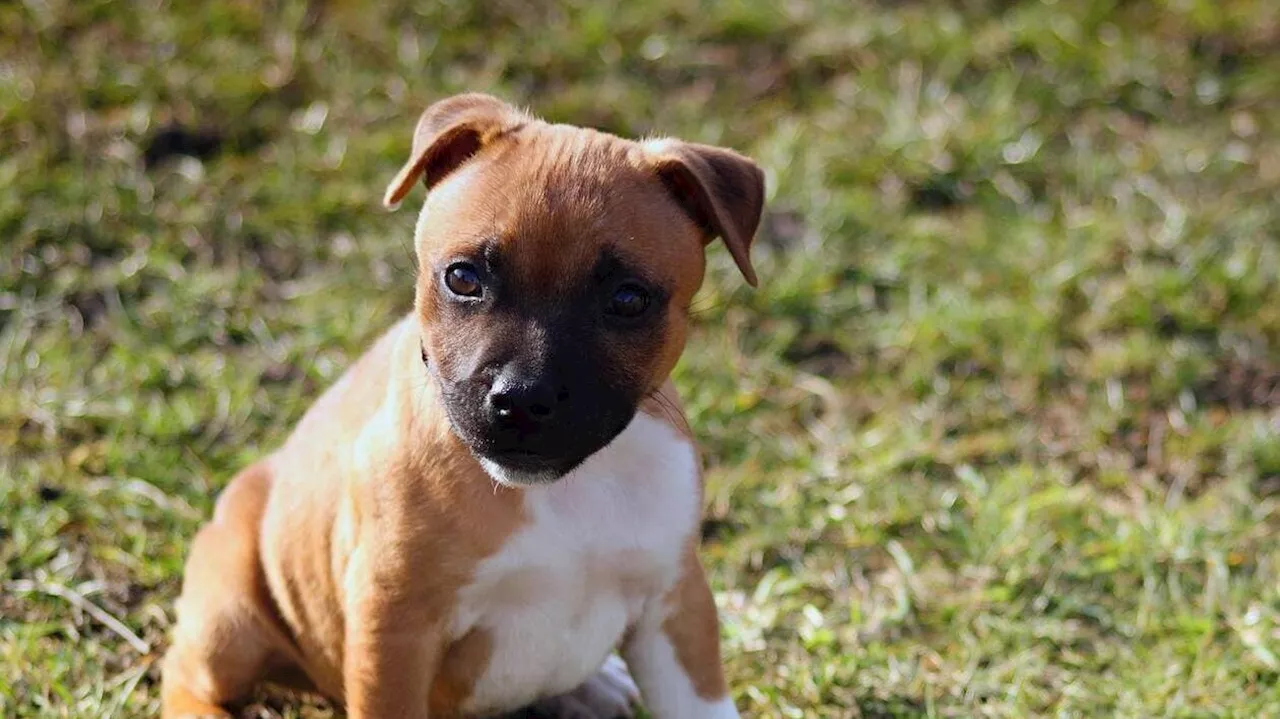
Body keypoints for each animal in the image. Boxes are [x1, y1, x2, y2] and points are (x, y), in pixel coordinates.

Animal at [158, 95, 757, 716]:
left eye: (629, 300)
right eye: (463, 278)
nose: (523, 397)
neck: (563, 491)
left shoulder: (677, 603)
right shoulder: (395, 627)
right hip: (230, 604)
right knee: (189, 672)